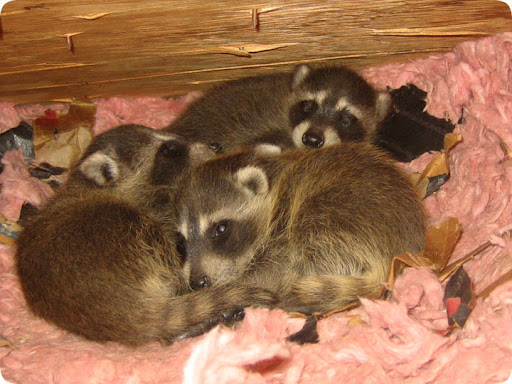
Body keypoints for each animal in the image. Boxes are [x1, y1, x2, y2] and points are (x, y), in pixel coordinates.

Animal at [175, 144, 424, 316]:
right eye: (181, 243)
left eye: (220, 228)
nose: (197, 283)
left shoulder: (282, 236)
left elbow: (270, 275)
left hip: (331, 219)